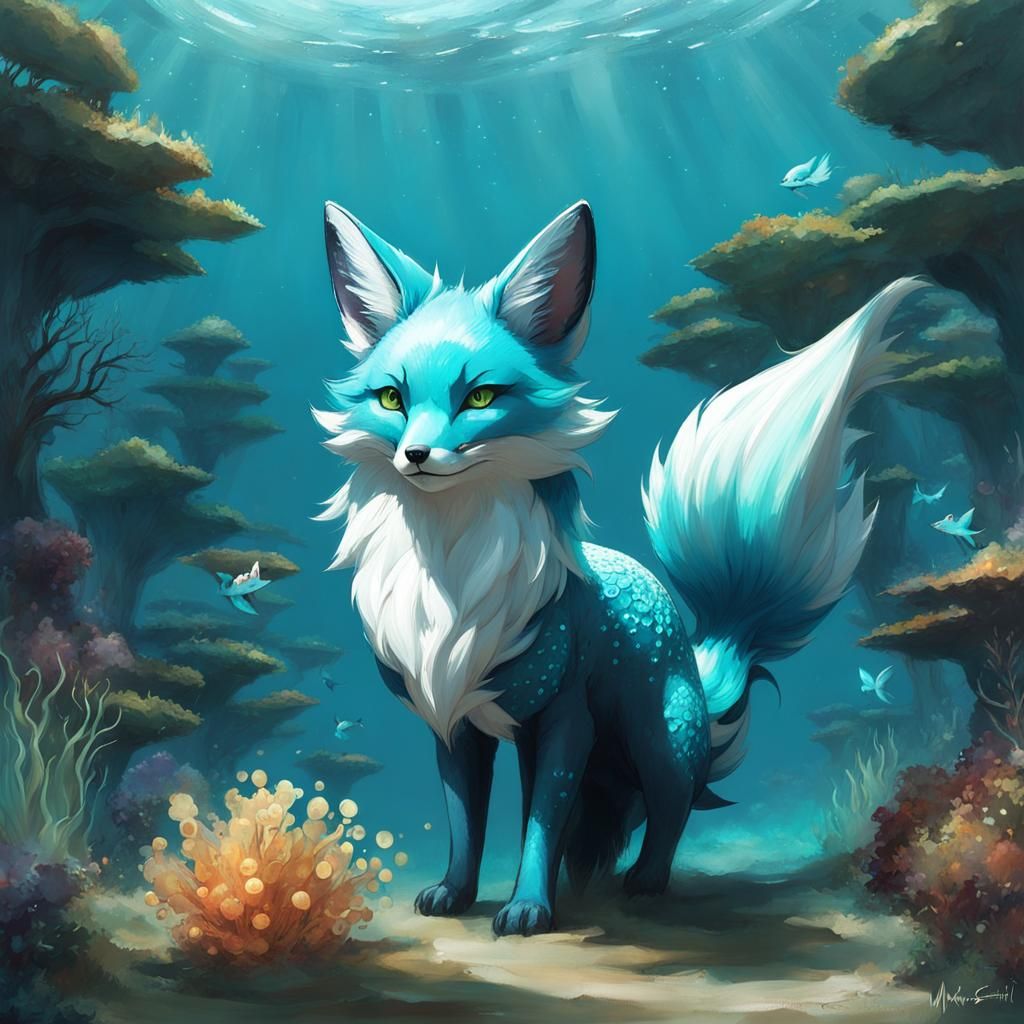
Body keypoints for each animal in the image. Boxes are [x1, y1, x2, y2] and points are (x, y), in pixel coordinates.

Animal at [313, 198, 924, 937]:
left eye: (481, 398)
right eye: (392, 399)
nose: (417, 455)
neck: (453, 577)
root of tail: (699, 646)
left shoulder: (566, 718)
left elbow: (540, 824)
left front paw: (529, 907)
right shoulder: (456, 721)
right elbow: (466, 822)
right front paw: (456, 894)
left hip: (655, 737)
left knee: (671, 807)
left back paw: (647, 881)